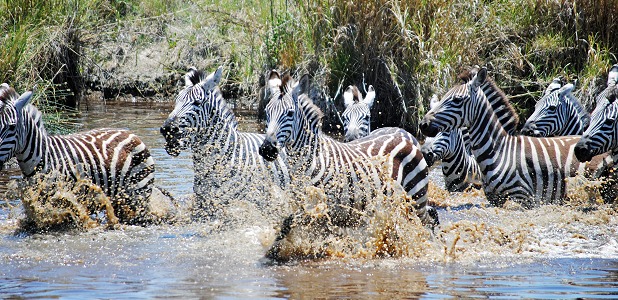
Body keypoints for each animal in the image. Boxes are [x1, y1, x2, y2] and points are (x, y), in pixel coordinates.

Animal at [258, 71, 436, 229]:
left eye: (290, 113)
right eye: (266, 112)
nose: (267, 149)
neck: (313, 159)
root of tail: (402, 133)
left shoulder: (327, 210)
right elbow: (286, 227)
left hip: (416, 197)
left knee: (428, 220)